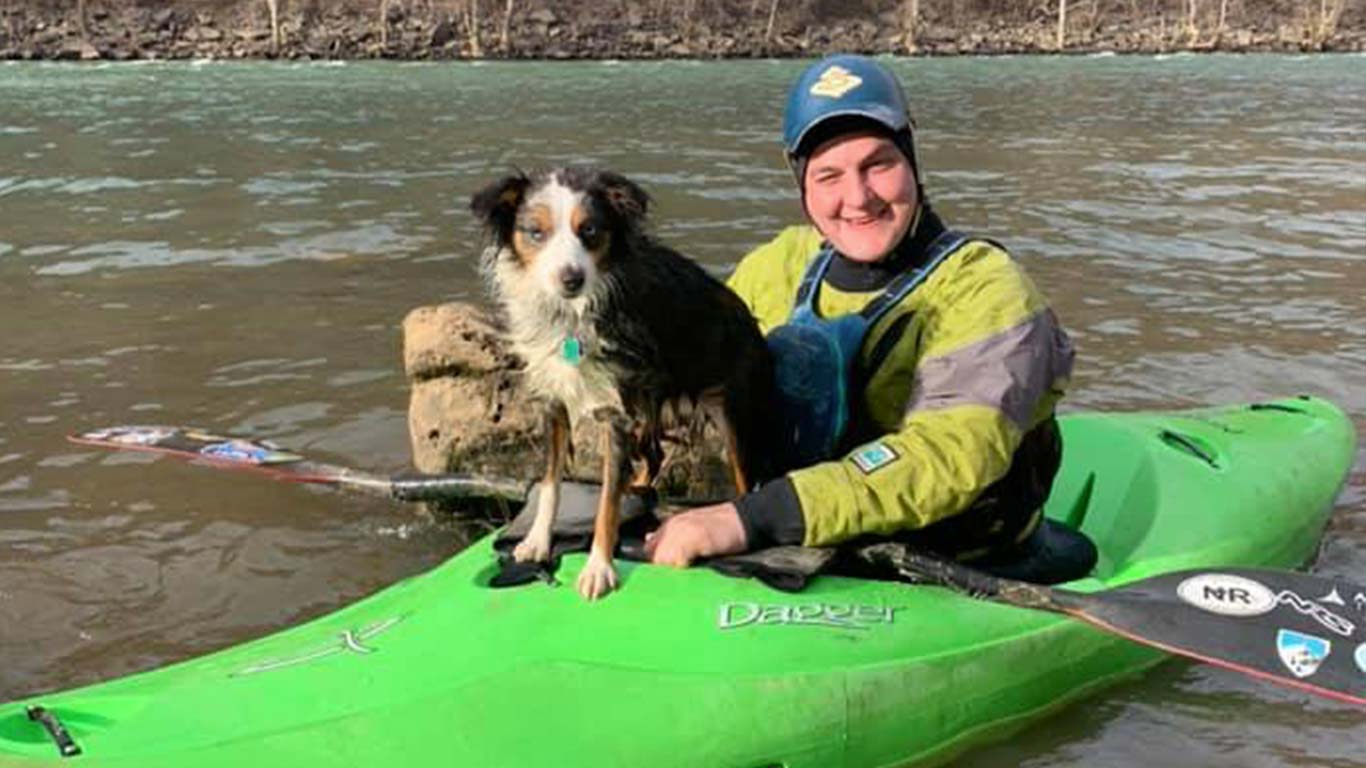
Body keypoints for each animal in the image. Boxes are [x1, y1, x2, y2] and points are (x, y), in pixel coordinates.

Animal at [469, 166, 775, 598]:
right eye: (536, 232)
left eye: (590, 230)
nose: (571, 279)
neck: (573, 315)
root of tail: (750, 321)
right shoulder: (554, 400)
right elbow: (550, 483)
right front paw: (537, 541)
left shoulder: (615, 409)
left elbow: (606, 503)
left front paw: (599, 567)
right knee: (654, 455)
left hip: (730, 412)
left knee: (744, 481)